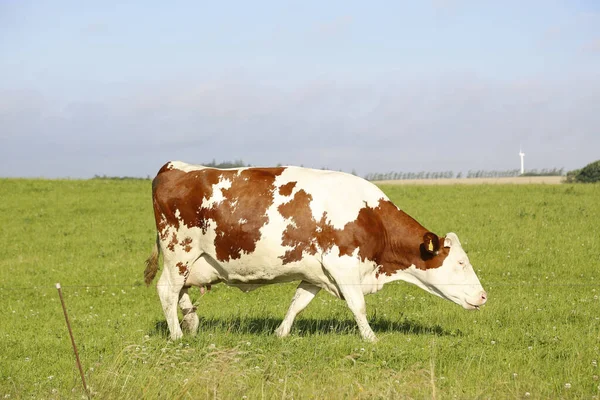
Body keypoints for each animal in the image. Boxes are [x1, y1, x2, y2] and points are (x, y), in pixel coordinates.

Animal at [144, 161, 488, 342]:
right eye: (461, 262)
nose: (484, 296)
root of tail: (175, 167)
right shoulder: (343, 264)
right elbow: (358, 306)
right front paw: (371, 339)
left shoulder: (315, 272)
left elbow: (298, 303)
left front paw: (281, 334)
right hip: (179, 253)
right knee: (167, 291)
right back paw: (177, 335)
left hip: (192, 262)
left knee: (181, 293)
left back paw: (190, 324)